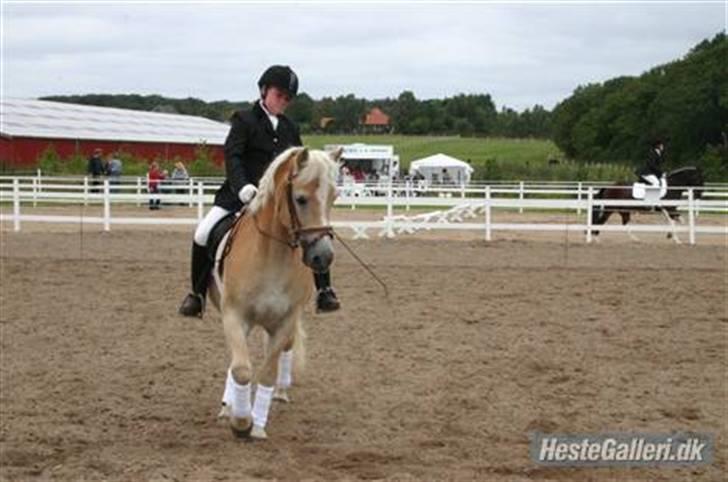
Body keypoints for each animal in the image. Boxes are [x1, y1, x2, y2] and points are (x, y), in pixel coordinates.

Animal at [206, 147, 340, 440]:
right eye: (300, 199)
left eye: (333, 197)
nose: (323, 257)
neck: (272, 256)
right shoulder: (234, 315)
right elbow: (241, 369)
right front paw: (239, 420)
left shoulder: (285, 320)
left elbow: (267, 371)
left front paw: (256, 425)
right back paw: (227, 406)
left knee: (282, 352)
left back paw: (279, 393)